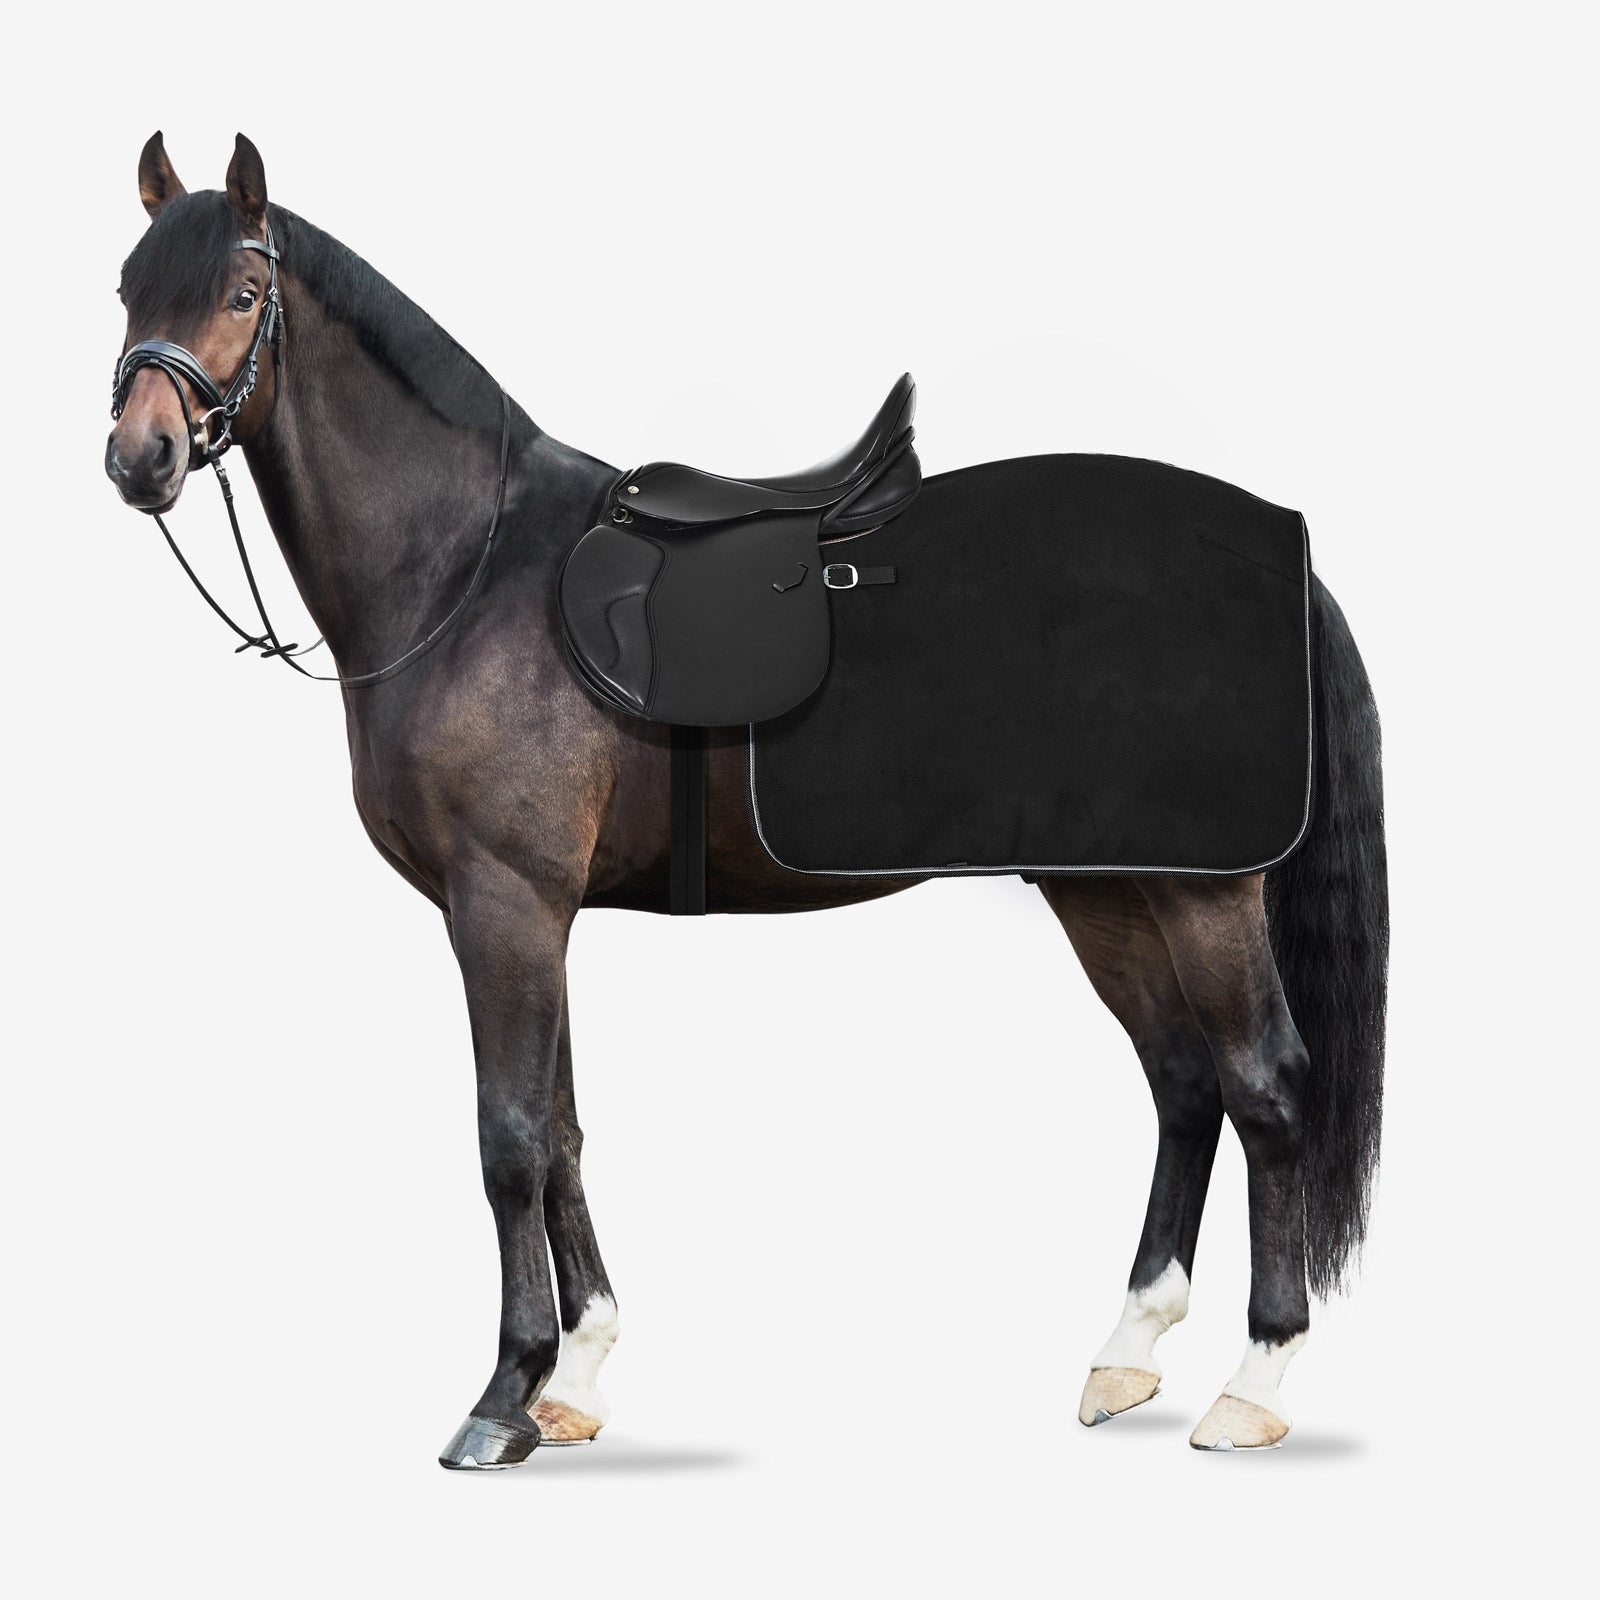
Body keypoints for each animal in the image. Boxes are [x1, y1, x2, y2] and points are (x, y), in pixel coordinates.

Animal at [105, 132, 1387, 1469]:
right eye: (126, 290)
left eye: (240, 294)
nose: (140, 457)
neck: (467, 565)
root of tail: (1278, 552)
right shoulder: (534, 913)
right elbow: (563, 1129)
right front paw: (578, 1374)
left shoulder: (502, 904)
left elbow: (508, 1138)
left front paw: (504, 1394)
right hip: (1108, 891)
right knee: (1183, 1083)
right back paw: (1128, 1352)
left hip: (1202, 893)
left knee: (1266, 1087)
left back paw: (1256, 1379)